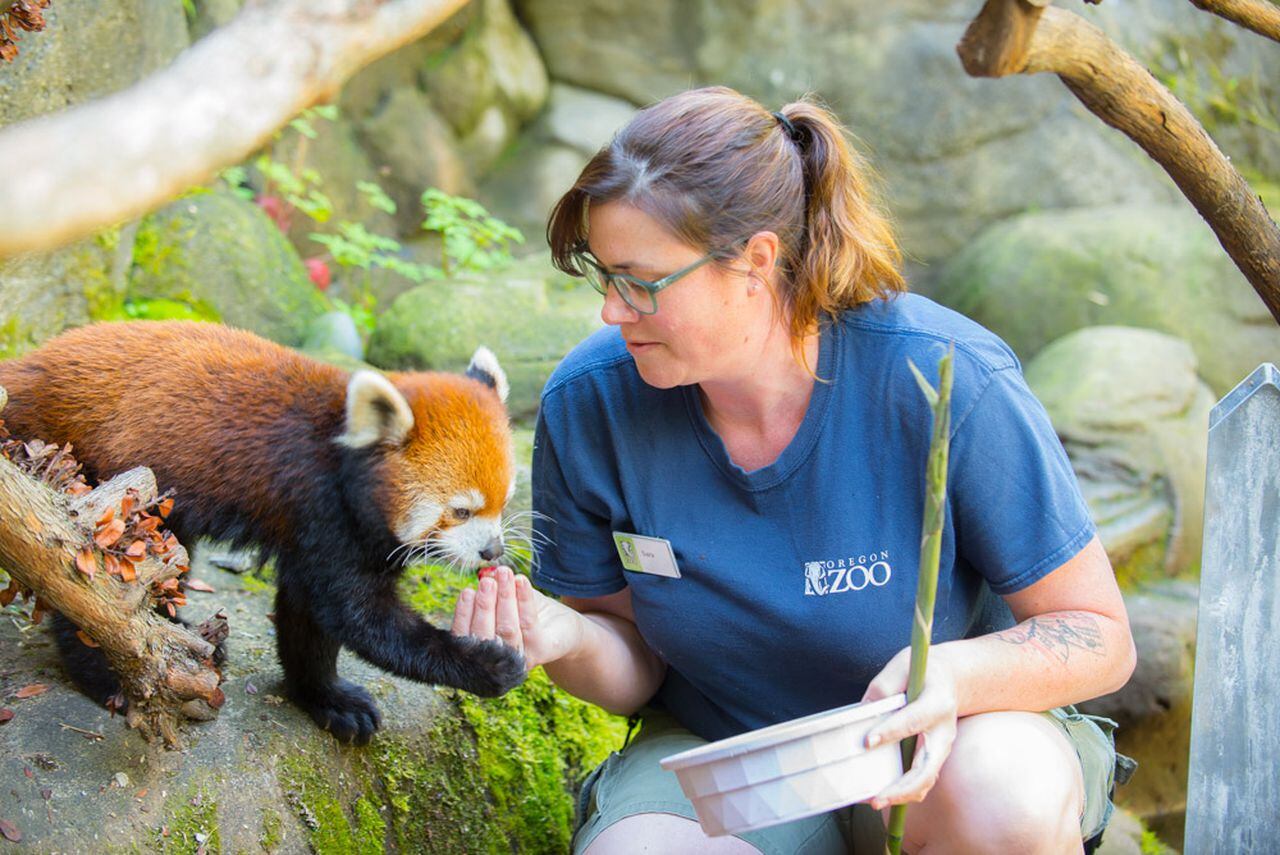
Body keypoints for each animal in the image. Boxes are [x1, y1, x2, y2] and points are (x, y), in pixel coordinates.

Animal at [0, 319, 524, 742]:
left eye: (505, 501)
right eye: (461, 511)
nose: (492, 550)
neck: (340, 457)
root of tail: (23, 369)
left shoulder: (322, 532)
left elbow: (308, 617)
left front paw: (325, 698)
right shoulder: (322, 509)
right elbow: (359, 618)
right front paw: (488, 666)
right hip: (94, 479)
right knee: (95, 591)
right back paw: (109, 676)